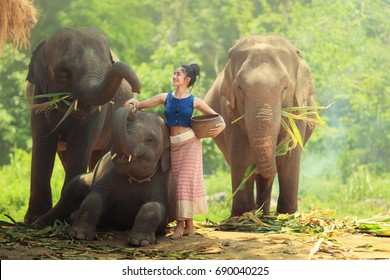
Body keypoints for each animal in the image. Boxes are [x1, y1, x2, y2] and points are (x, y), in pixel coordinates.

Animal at [24, 27, 142, 224]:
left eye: (106, 68)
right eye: (63, 71)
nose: (137, 89)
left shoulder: (97, 112)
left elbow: (80, 144)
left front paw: (66, 217)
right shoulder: (38, 97)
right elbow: (43, 144)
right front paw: (33, 219)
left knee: (98, 155)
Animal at [36, 107, 174, 247]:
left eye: (149, 139)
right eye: (127, 127)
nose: (133, 108)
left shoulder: (162, 181)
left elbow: (154, 207)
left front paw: (140, 242)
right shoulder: (110, 175)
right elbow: (95, 197)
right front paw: (78, 235)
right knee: (72, 191)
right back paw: (41, 224)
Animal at [204, 35, 316, 217]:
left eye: (285, 87)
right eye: (239, 87)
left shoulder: (299, 109)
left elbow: (290, 159)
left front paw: (288, 215)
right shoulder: (230, 112)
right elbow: (241, 157)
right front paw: (241, 216)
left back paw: (265, 215)